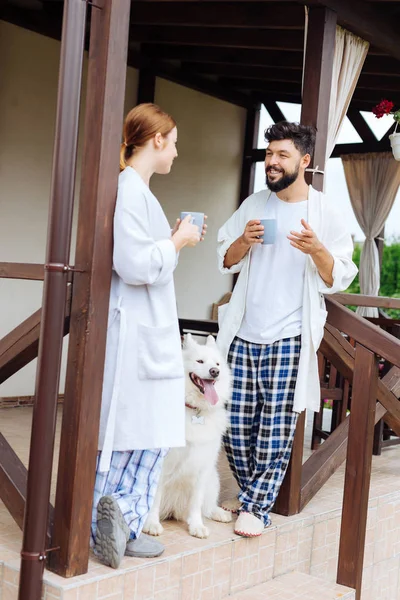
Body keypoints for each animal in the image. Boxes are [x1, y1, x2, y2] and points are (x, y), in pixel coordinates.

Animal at [143, 332, 231, 540]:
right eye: (200, 361)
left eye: (217, 363)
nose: (214, 371)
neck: (195, 409)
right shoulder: (161, 466)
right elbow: (155, 499)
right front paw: (151, 524)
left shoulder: (203, 466)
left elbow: (196, 502)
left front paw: (197, 526)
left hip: (213, 478)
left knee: (206, 506)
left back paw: (219, 513)